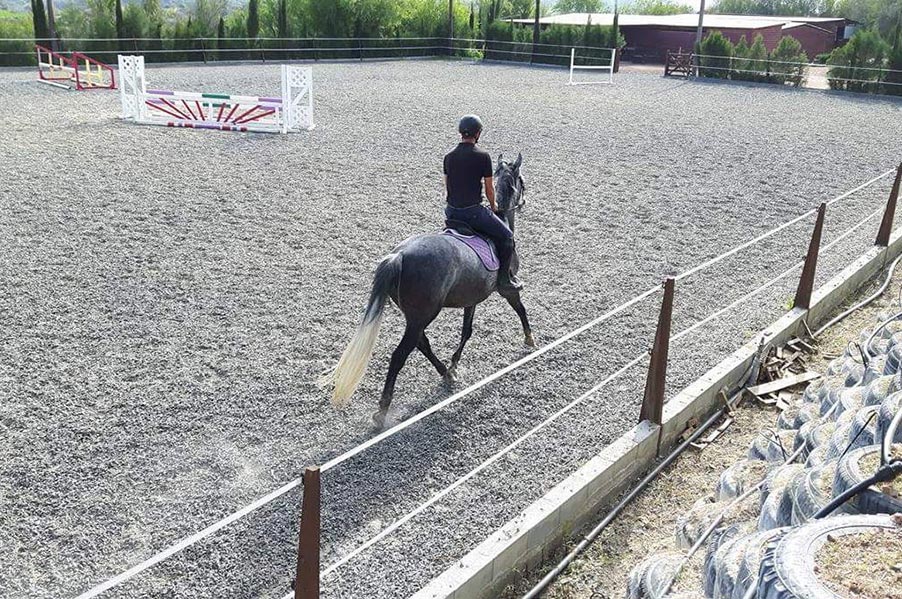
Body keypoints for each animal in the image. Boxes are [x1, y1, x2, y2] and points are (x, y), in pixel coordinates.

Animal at [322, 155, 532, 426]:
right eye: (522, 181)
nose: (524, 202)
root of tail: (399, 256)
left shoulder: (472, 299)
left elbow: (466, 331)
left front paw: (454, 365)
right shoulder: (507, 289)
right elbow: (520, 309)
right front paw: (530, 338)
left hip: (416, 315)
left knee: (422, 343)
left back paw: (446, 374)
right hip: (424, 314)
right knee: (400, 354)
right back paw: (382, 411)